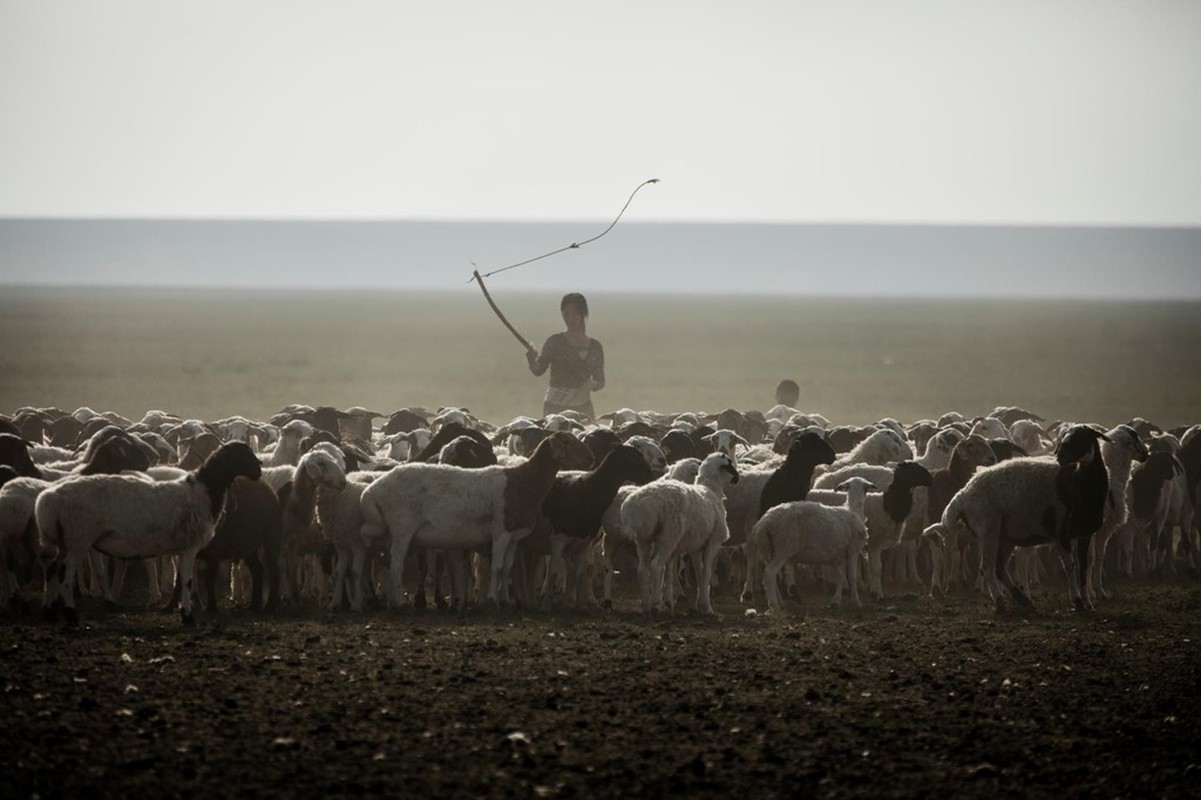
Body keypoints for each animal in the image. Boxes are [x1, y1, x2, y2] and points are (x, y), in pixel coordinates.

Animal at [35, 439, 263, 619]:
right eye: (242, 455)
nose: (259, 470)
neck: (205, 492)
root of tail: (48, 499)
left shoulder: (181, 549)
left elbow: (181, 580)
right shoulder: (190, 547)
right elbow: (187, 581)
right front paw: (187, 614)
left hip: (65, 542)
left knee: (53, 569)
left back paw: (48, 609)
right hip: (77, 539)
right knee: (65, 574)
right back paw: (70, 612)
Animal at [357, 430, 578, 605]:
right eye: (567, 442)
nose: (587, 459)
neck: (523, 480)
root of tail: (373, 489)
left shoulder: (514, 536)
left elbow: (506, 568)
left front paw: (505, 601)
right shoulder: (500, 533)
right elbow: (496, 567)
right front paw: (492, 600)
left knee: (386, 563)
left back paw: (392, 601)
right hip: (402, 528)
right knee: (395, 565)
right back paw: (400, 602)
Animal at [619, 451, 739, 612]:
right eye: (729, 464)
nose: (737, 478)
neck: (711, 490)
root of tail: (644, 505)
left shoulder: (695, 545)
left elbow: (699, 572)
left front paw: (699, 604)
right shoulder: (713, 541)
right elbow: (706, 572)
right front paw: (707, 607)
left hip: (644, 539)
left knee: (643, 569)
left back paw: (647, 606)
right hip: (669, 536)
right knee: (656, 566)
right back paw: (656, 605)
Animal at [749, 473, 874, 605]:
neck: (853, 510)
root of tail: (764, 522)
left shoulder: (835, 556)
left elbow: (840, 577)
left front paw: (836, 600)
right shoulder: (853, 550)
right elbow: (852, 576)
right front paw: (856, 601)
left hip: (770, 549)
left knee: (768, 575)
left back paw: (778, 601)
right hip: (783, 547)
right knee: (770, 574)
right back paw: (774, 605)